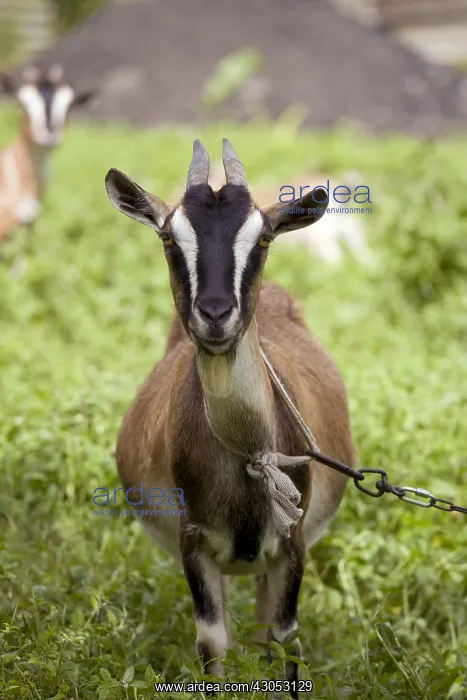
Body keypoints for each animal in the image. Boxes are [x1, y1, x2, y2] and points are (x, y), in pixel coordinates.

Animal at [105, 139, 355, 696]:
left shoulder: (292, 543)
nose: (216, 314)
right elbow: (213, 644)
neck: (249, 453)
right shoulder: (194, 543)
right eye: (168, 238)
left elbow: (284, 641)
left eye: (262, 237)